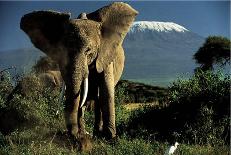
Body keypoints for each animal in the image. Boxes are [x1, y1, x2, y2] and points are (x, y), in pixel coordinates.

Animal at [20, 1, 137, 144]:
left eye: (88, 51)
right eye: (61, 51)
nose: (73, 135)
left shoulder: (105, 55)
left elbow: (106, 91)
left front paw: (110, 139)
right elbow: (80, 94)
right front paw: (81, 136)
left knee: (97, 98)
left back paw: (96, 134)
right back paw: (88, 133)